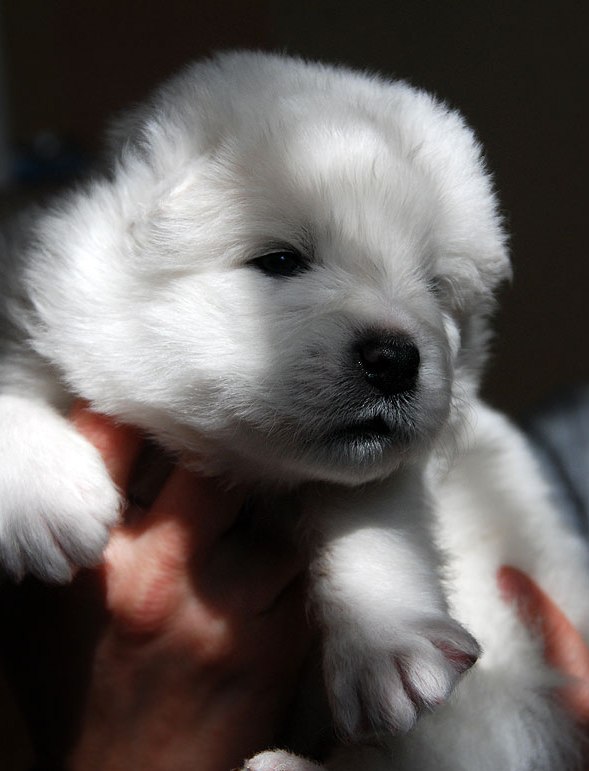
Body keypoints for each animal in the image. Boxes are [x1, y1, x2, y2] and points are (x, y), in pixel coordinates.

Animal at [0, 51, 584, 768]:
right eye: (280, 261)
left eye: (435, 288)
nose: (395, 359)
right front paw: (43, 494)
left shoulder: (401, 473)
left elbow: (365, 512)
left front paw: (389, 645)